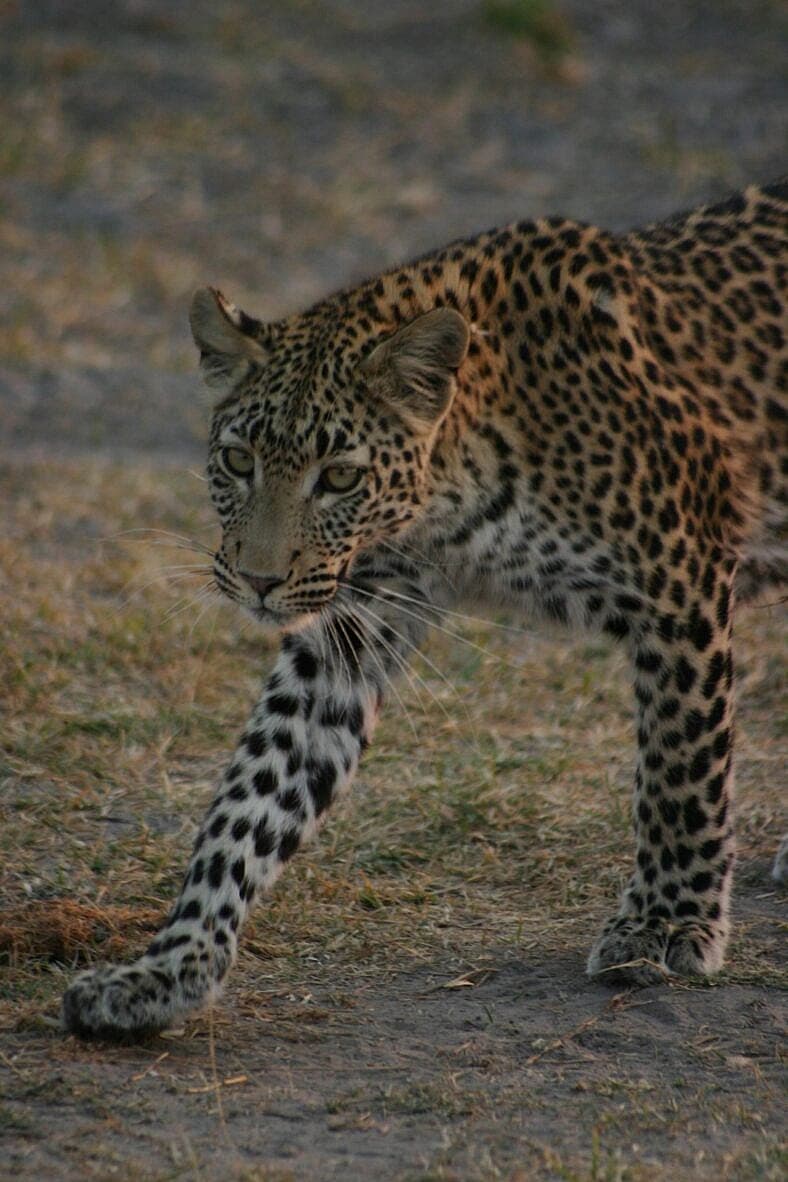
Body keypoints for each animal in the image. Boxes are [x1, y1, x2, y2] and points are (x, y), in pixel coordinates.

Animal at [62, 180, 787, 1038]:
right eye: (238, 461)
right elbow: (250, 799)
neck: (453, 499)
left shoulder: (680, 577)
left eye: (340, 477)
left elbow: (682, 766)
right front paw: (171, 966)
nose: (259, 582)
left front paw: (667, 922)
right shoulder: (350, 623)